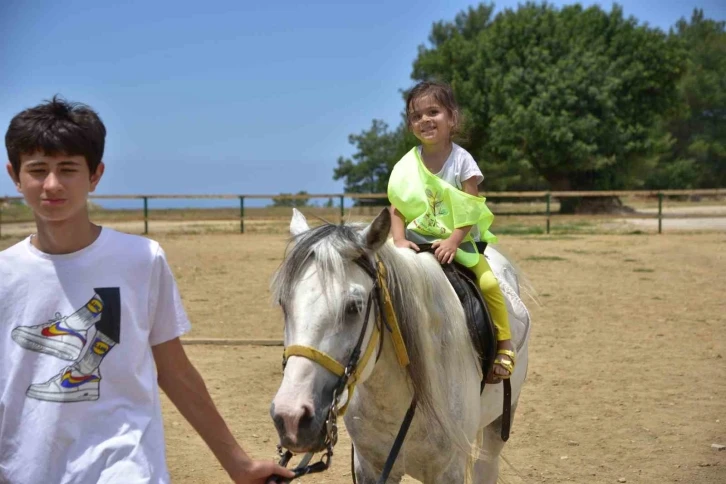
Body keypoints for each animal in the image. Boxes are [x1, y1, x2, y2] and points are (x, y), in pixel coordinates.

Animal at [270, 209, 532, 484]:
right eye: (283, 303)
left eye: (354, 307)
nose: (291, 418)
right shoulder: (370, 468)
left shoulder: (448, 471)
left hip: (499, 424)